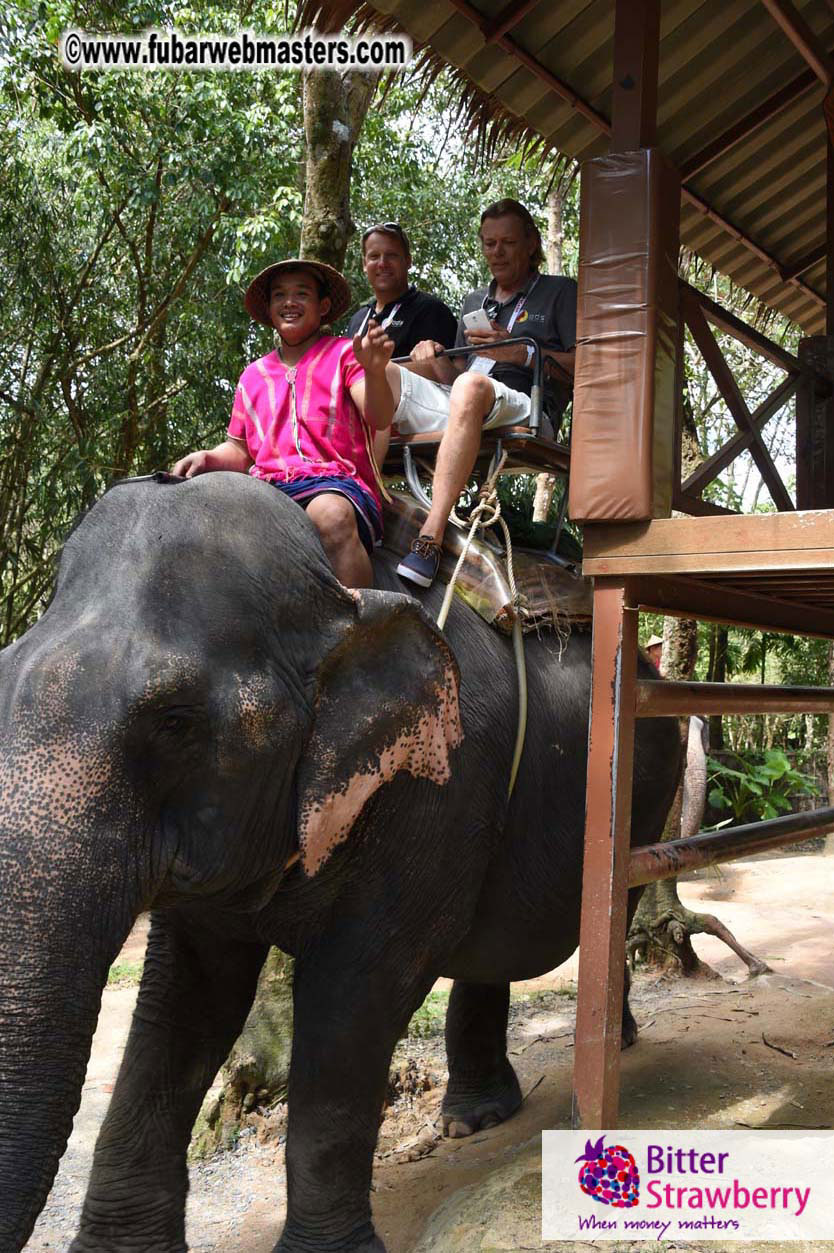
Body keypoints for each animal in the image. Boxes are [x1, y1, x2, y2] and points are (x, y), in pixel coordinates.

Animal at [0, 471, 680, 1253]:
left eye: (174, 721)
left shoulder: (435, 786)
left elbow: (357, 990)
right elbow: (185, 998)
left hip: (643, 778)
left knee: (617, 902)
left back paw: (613, 1045)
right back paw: (473, 1118)